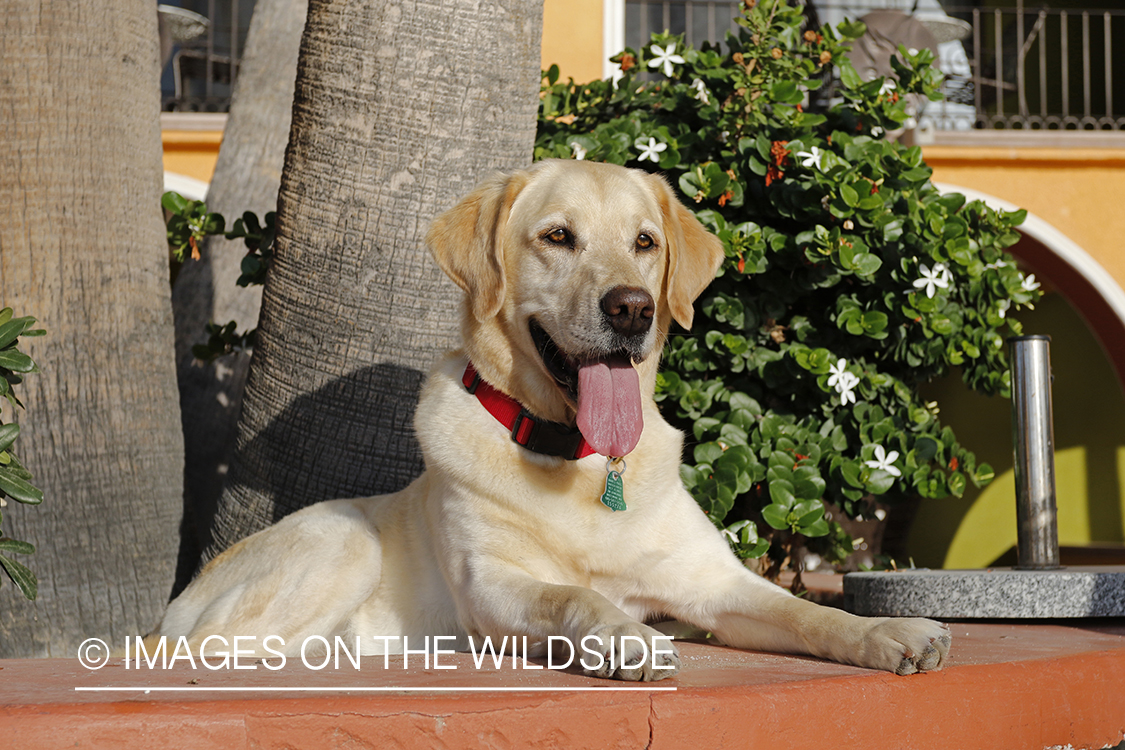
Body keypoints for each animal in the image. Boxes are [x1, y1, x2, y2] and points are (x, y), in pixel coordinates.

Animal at [158, 158, 949, 679]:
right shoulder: (494, 584)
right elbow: (573, 593)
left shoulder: (714, 582)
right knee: (222, 652)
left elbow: (806, 612)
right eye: (558, 237)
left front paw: (886, 632)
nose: (631, 309)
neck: (582, 461)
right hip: (342, 538)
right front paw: (625, 637)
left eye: (644, 242)